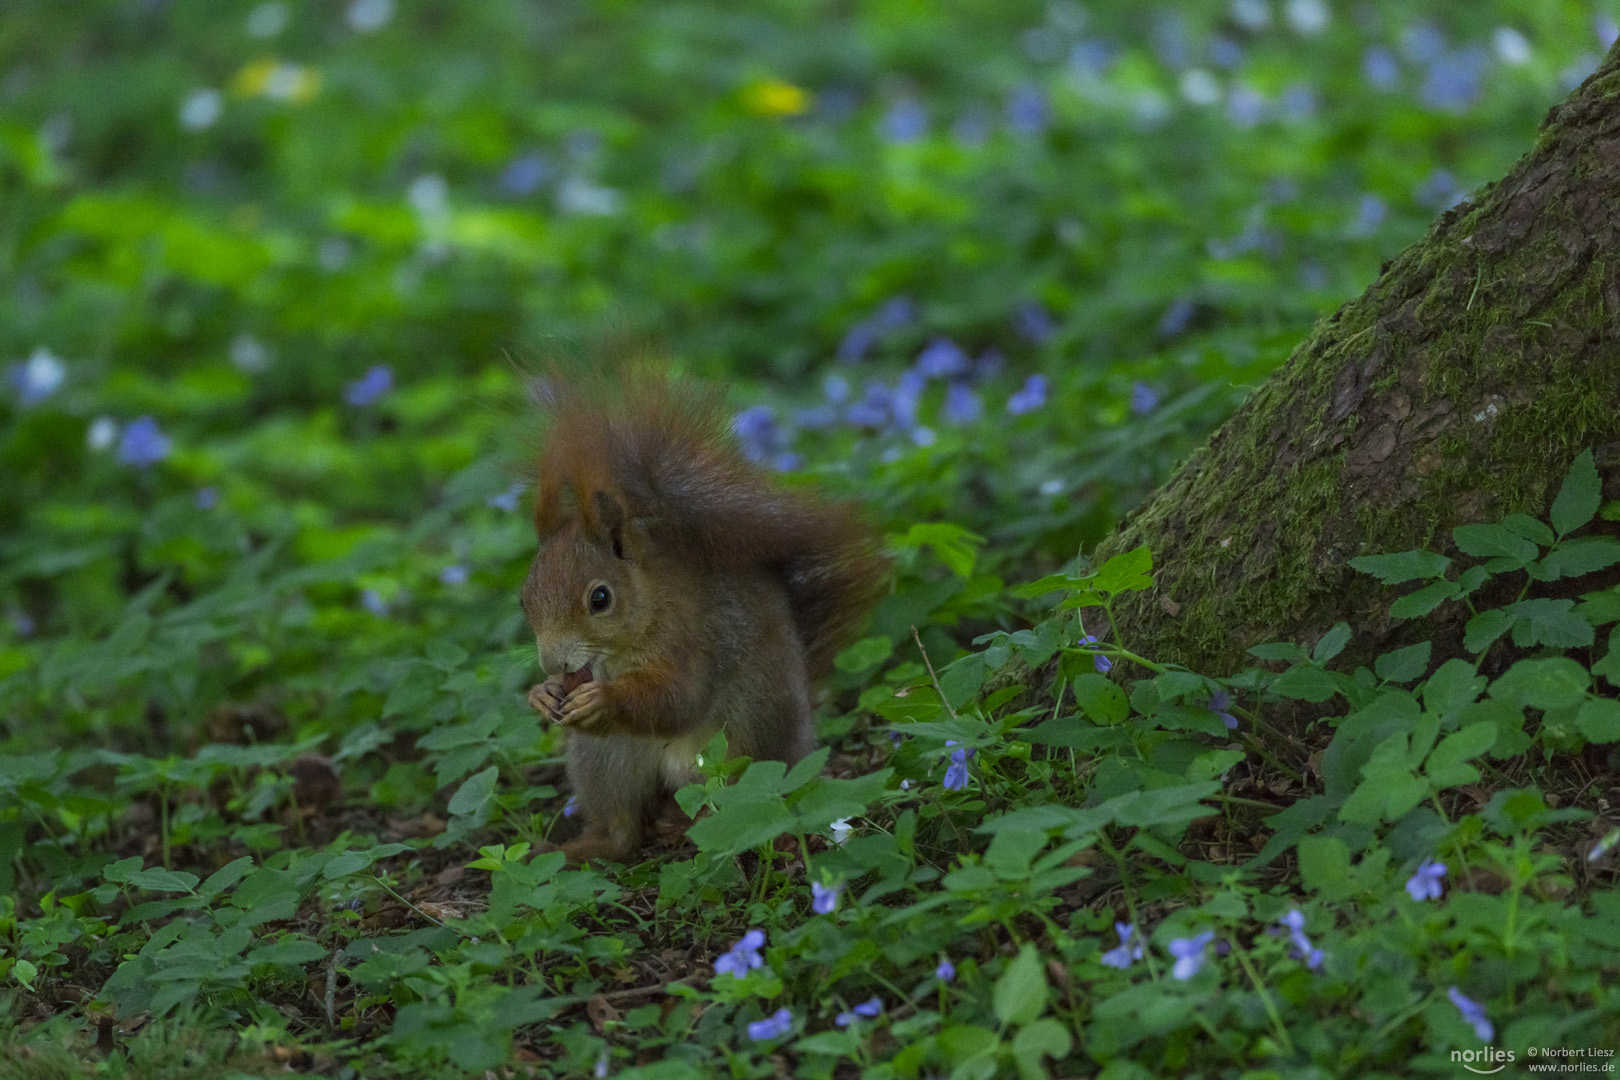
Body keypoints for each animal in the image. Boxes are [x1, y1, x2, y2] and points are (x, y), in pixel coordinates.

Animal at [518, 372, 894, 861]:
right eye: (523, 601)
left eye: (600, 598)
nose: (553, 663)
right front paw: (542, 693)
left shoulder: (689, 638)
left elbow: (679, 698)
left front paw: (604, 699)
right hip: (605, 760)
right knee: (624, 831)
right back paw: (584, 848)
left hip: (754, 735)